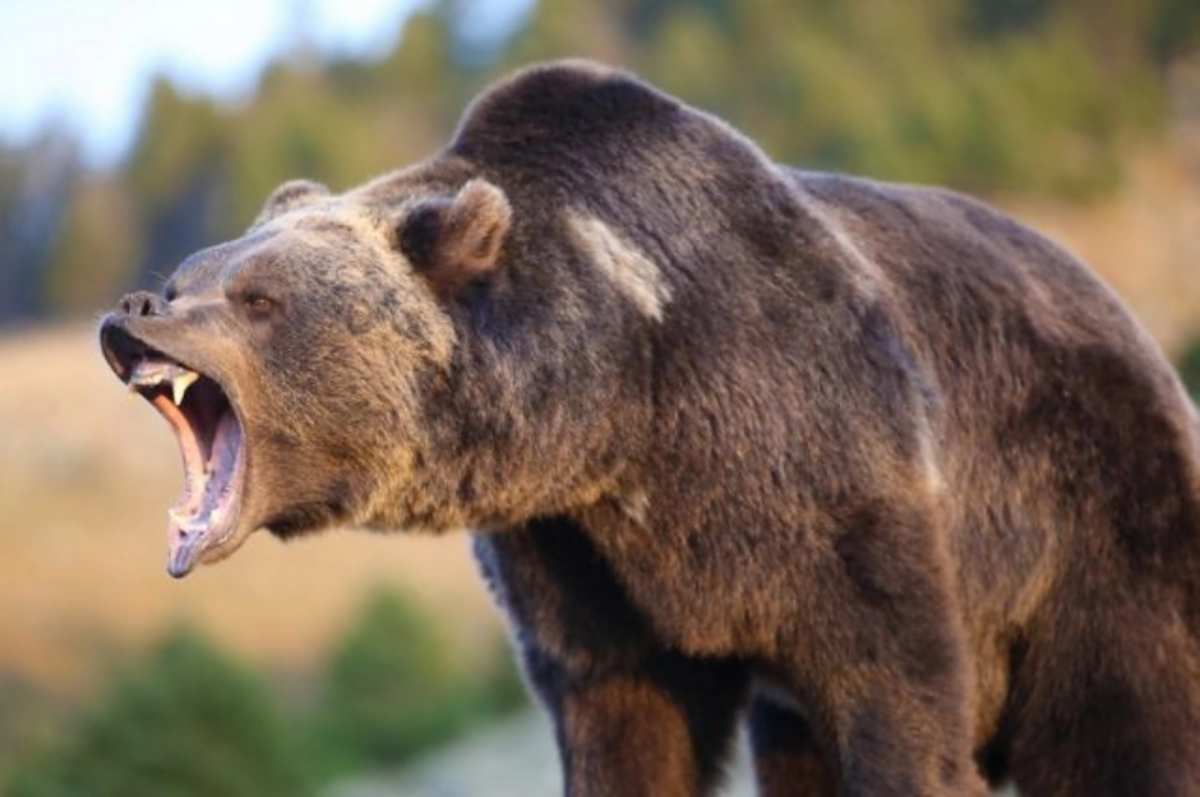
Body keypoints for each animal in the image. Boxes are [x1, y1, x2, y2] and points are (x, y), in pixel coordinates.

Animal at [99, 60, 1200, 796]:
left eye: (257, 297)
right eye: (186, 277)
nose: (131, 312)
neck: (624, 404)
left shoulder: (833, 469)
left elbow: (899, 690)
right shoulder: (580, 561)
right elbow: (624, 719)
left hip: (1097, 518)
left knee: (1124, 723)